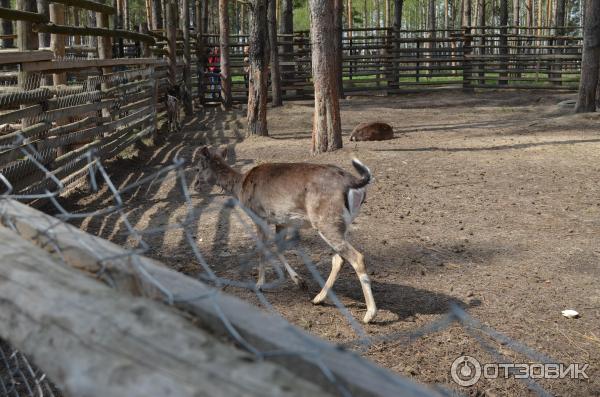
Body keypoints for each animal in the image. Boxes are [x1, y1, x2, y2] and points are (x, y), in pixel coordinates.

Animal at [195, 147, 378, 324]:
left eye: (198, 167)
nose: (195, 185)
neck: (240, 188)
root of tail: (355, 182)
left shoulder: (258, 216)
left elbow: (263, 249)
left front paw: (259, 285)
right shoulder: (281, 221)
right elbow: (279, 248)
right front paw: (300, 281)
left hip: (327, 222)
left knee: (357, 257)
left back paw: (369, 314)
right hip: (341, 225)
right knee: (339, 259)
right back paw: (318, 298)